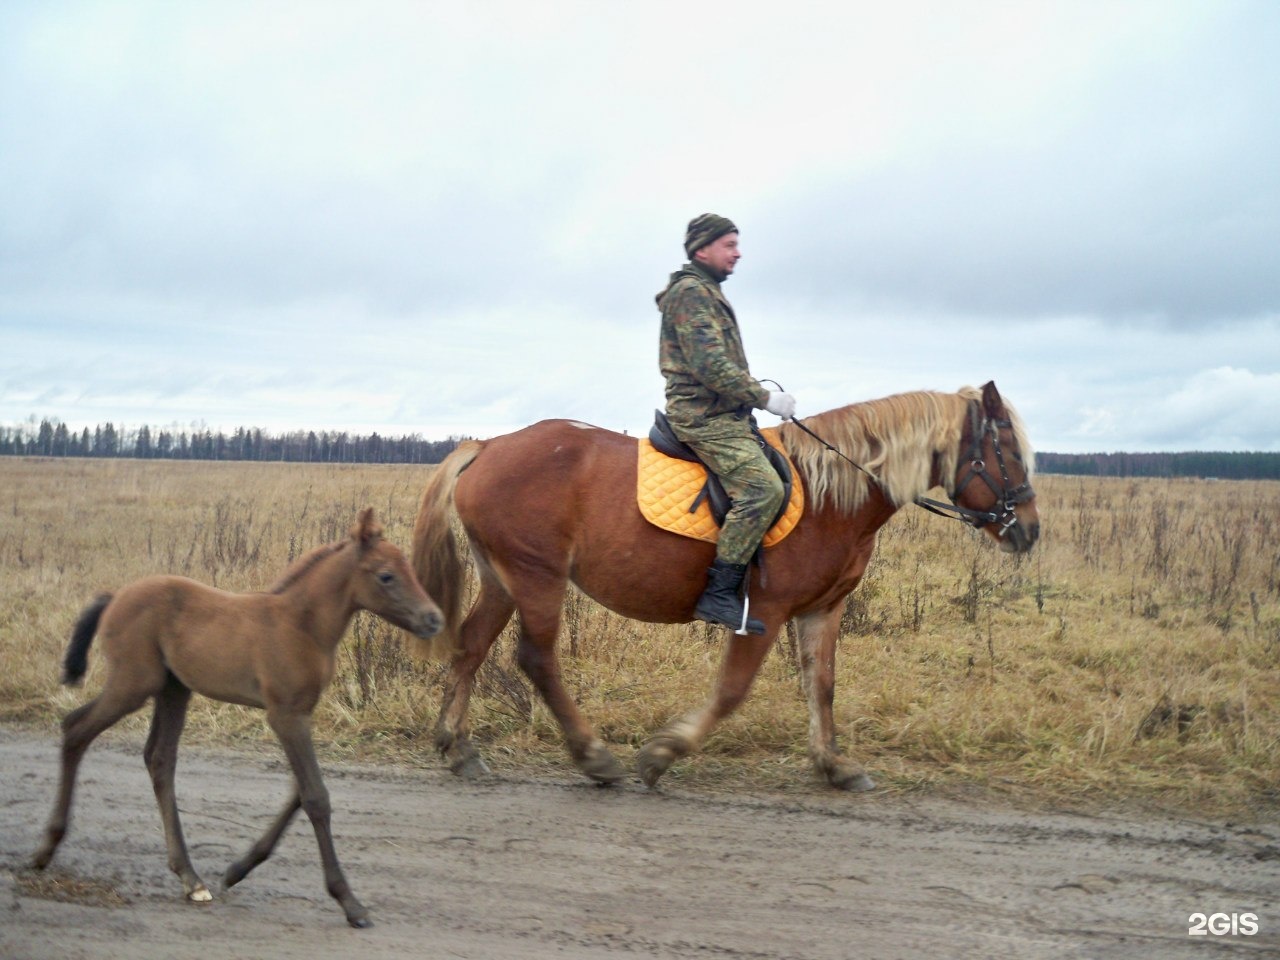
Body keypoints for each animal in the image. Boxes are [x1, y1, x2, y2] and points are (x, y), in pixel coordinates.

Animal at [32, 506, 442, 926]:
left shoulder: (301, 714)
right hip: (133, 683)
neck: (302, 625)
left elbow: (299, 791)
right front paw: (349, 902)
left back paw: (191, 878)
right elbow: (315, 796)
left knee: (159, 758)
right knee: (76, 729)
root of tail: (116, 596)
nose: (434, 619)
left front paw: (238, 869)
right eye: (386, 575)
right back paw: (47, 849)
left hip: (173, 688)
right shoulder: (285, 715)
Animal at [414, 386, 1034, 793]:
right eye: (1007, 451)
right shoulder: (765, 611)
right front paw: (662, 754)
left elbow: (822, 685)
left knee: (472, 645)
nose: (1028, 529)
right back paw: (594, 758)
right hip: (536, 576)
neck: (831, 495)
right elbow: (733, 691)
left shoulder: (823, 609)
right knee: (537, 658)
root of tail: (488, 446)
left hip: (503, 577)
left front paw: (834, 766)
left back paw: (457, 746)